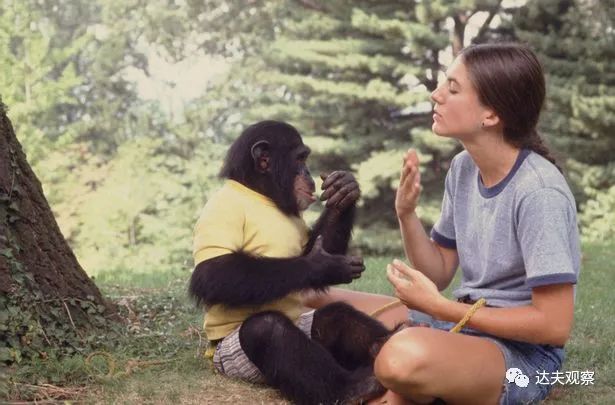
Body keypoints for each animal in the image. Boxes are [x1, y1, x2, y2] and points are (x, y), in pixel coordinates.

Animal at [189, 120, 394, 404]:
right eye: (300, 158)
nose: (308, 172)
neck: (259, 194)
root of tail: (212, 357)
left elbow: (316, 245)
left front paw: (344, 191)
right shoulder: (221, 210)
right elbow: (214, 273)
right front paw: (322, 266)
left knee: (335, 315)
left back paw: (386, 342)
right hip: (235, 362)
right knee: (265, 329)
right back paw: (351, 389)